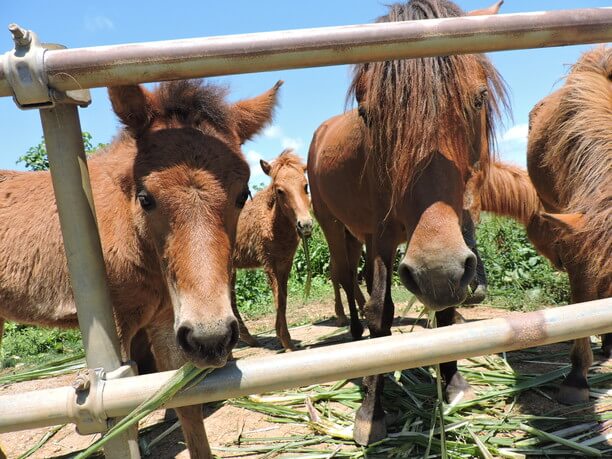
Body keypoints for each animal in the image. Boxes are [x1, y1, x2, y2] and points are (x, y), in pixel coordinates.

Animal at [232, 149, 314, 350]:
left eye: (305, 186)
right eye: (280, 190)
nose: (305, 225)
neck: (273, 223)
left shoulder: (286, 262)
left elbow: (283, 298)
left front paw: (282, 335)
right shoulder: (269, 263)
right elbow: (278, 297)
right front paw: (285, 340)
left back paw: (248, 338)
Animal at [308, 0, 510, 446]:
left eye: (479, 98)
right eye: (368, 114)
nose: (436, 270)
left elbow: (447, 311)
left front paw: (453, 383)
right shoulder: (385, 239)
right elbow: (380, 314)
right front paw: (371, 412)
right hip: (333, 228)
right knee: (345, 278)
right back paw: (353, 339)